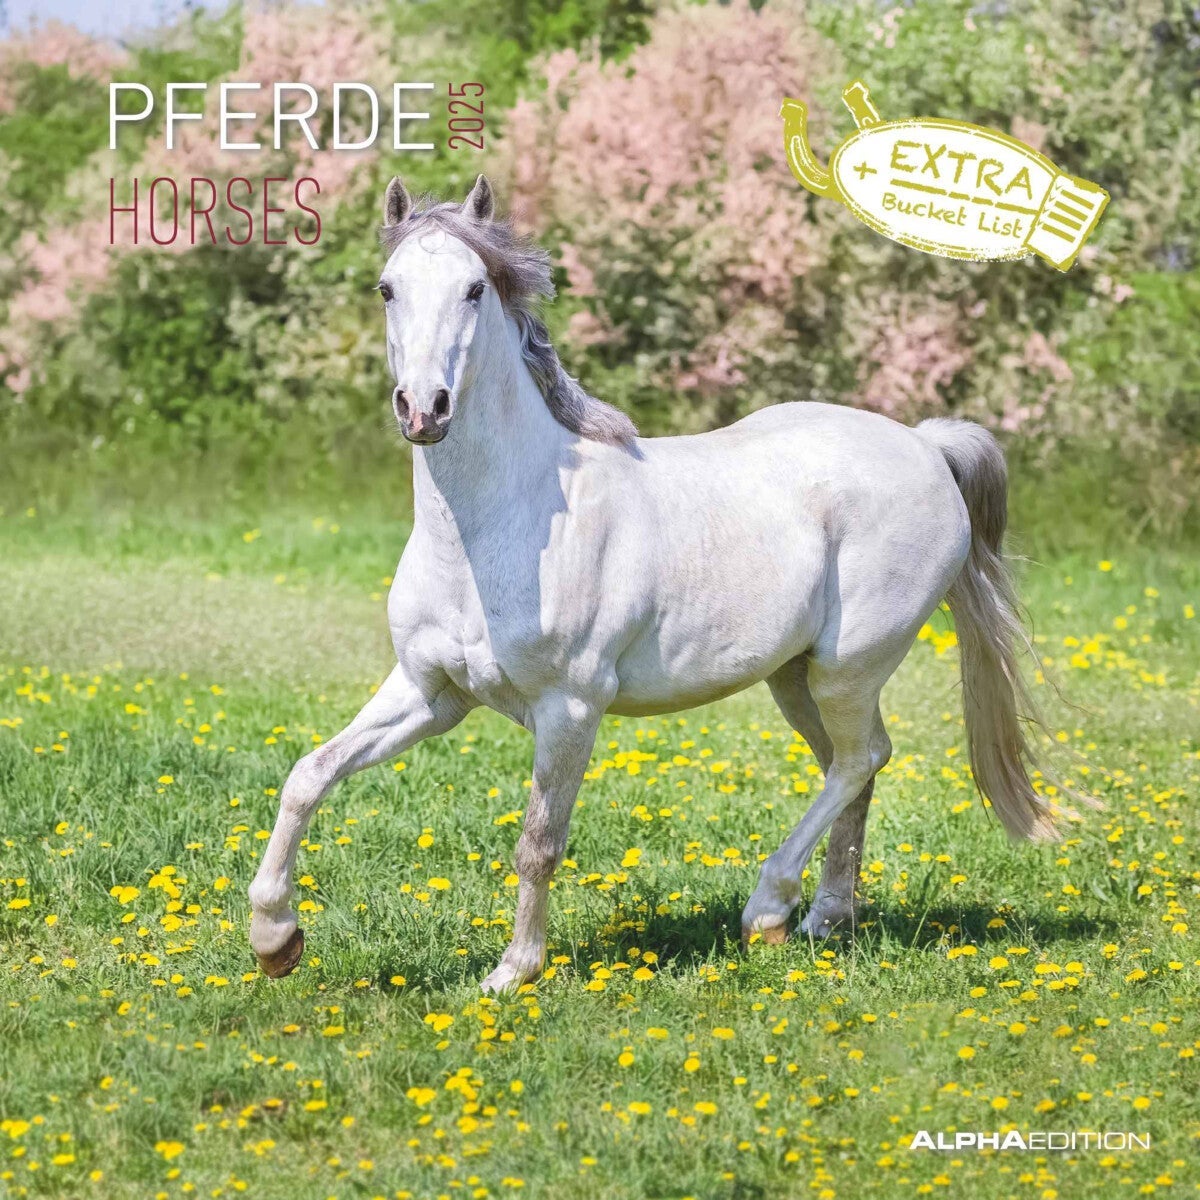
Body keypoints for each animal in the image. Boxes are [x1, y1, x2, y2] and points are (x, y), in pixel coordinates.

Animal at [248, 174, 1060, 994]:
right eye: (387, 288)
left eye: (475, 289)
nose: (424, 408)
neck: (500, 525)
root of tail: (925, 446)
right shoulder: (429, 692)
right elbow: (308, 775)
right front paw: (275, 939)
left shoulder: (570, 708)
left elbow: (539, 841)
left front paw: (514, 971)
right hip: (796, 677)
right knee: (853, 767)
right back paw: (826, 921)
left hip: (847, 669)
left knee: (860, 761)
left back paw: (768, 911)